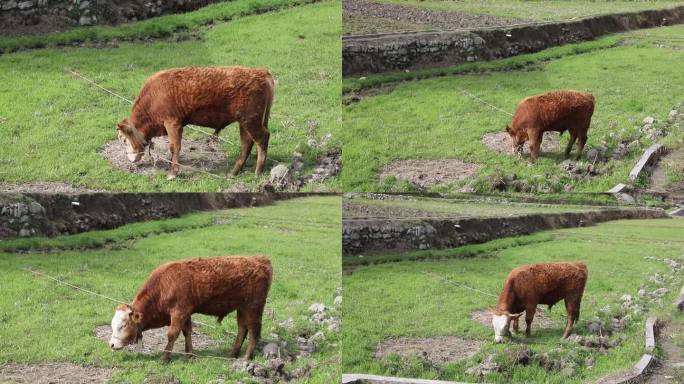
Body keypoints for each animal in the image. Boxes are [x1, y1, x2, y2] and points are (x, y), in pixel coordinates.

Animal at [108, 256, 272, 362]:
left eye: (123, 325)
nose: (111, 344)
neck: (163, 286)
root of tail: (260, 259)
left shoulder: (179, 312)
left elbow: (172, 334)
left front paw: (165, 357)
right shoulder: (185, 313)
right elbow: (187, 332)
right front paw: (189, 354)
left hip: (254, 307)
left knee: (253, 331)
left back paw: (246, 358)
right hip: (242, 308)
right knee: (242, 329)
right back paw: (232, 354)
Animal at [117, 65, 276, 178]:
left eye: (124, 140)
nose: (130, 160)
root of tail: (261, 72)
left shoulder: (172, 123)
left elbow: (174, 147)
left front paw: (172, 173)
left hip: (251, 121)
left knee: (262, 138)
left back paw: (258, 172)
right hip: (244, 122)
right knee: (246, 143)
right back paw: (234, 172)